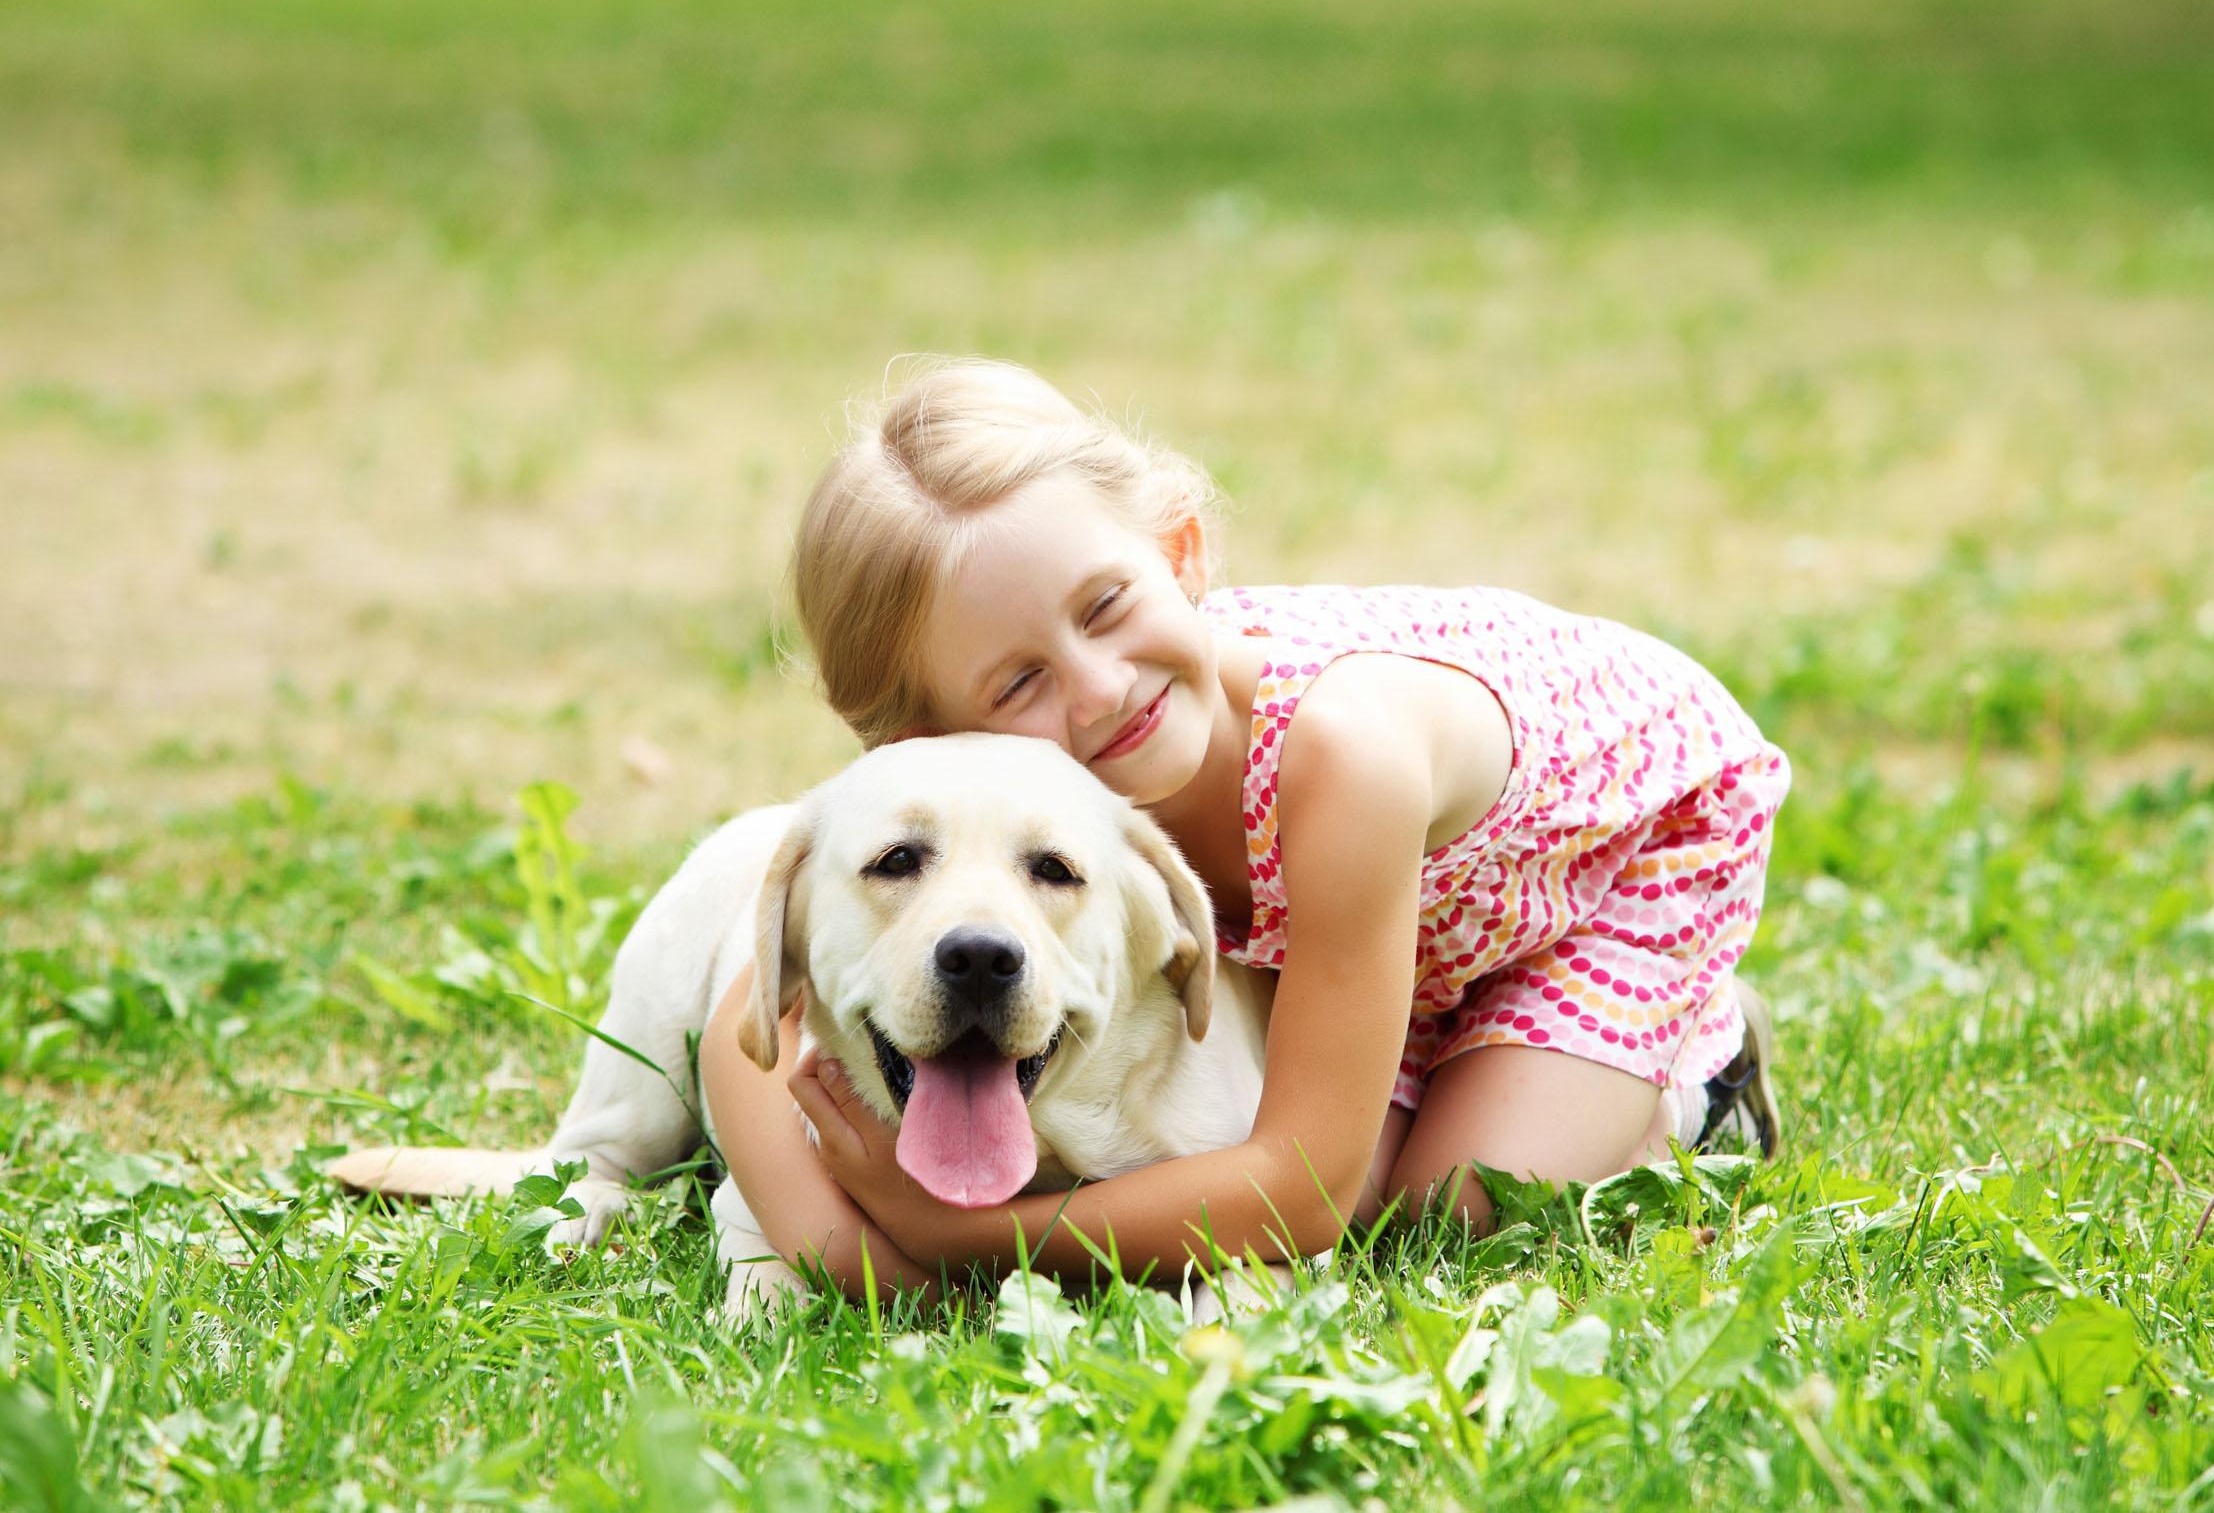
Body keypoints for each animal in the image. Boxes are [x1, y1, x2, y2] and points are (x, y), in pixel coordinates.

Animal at [323, 735, 1284, 1311]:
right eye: (896, 860)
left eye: (1055, 869)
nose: (980, 956)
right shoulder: (754, 1205)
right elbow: (770, 1288)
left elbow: (1243, 1291)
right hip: (643, 1071)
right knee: (585, 1162)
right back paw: (579, 1215)